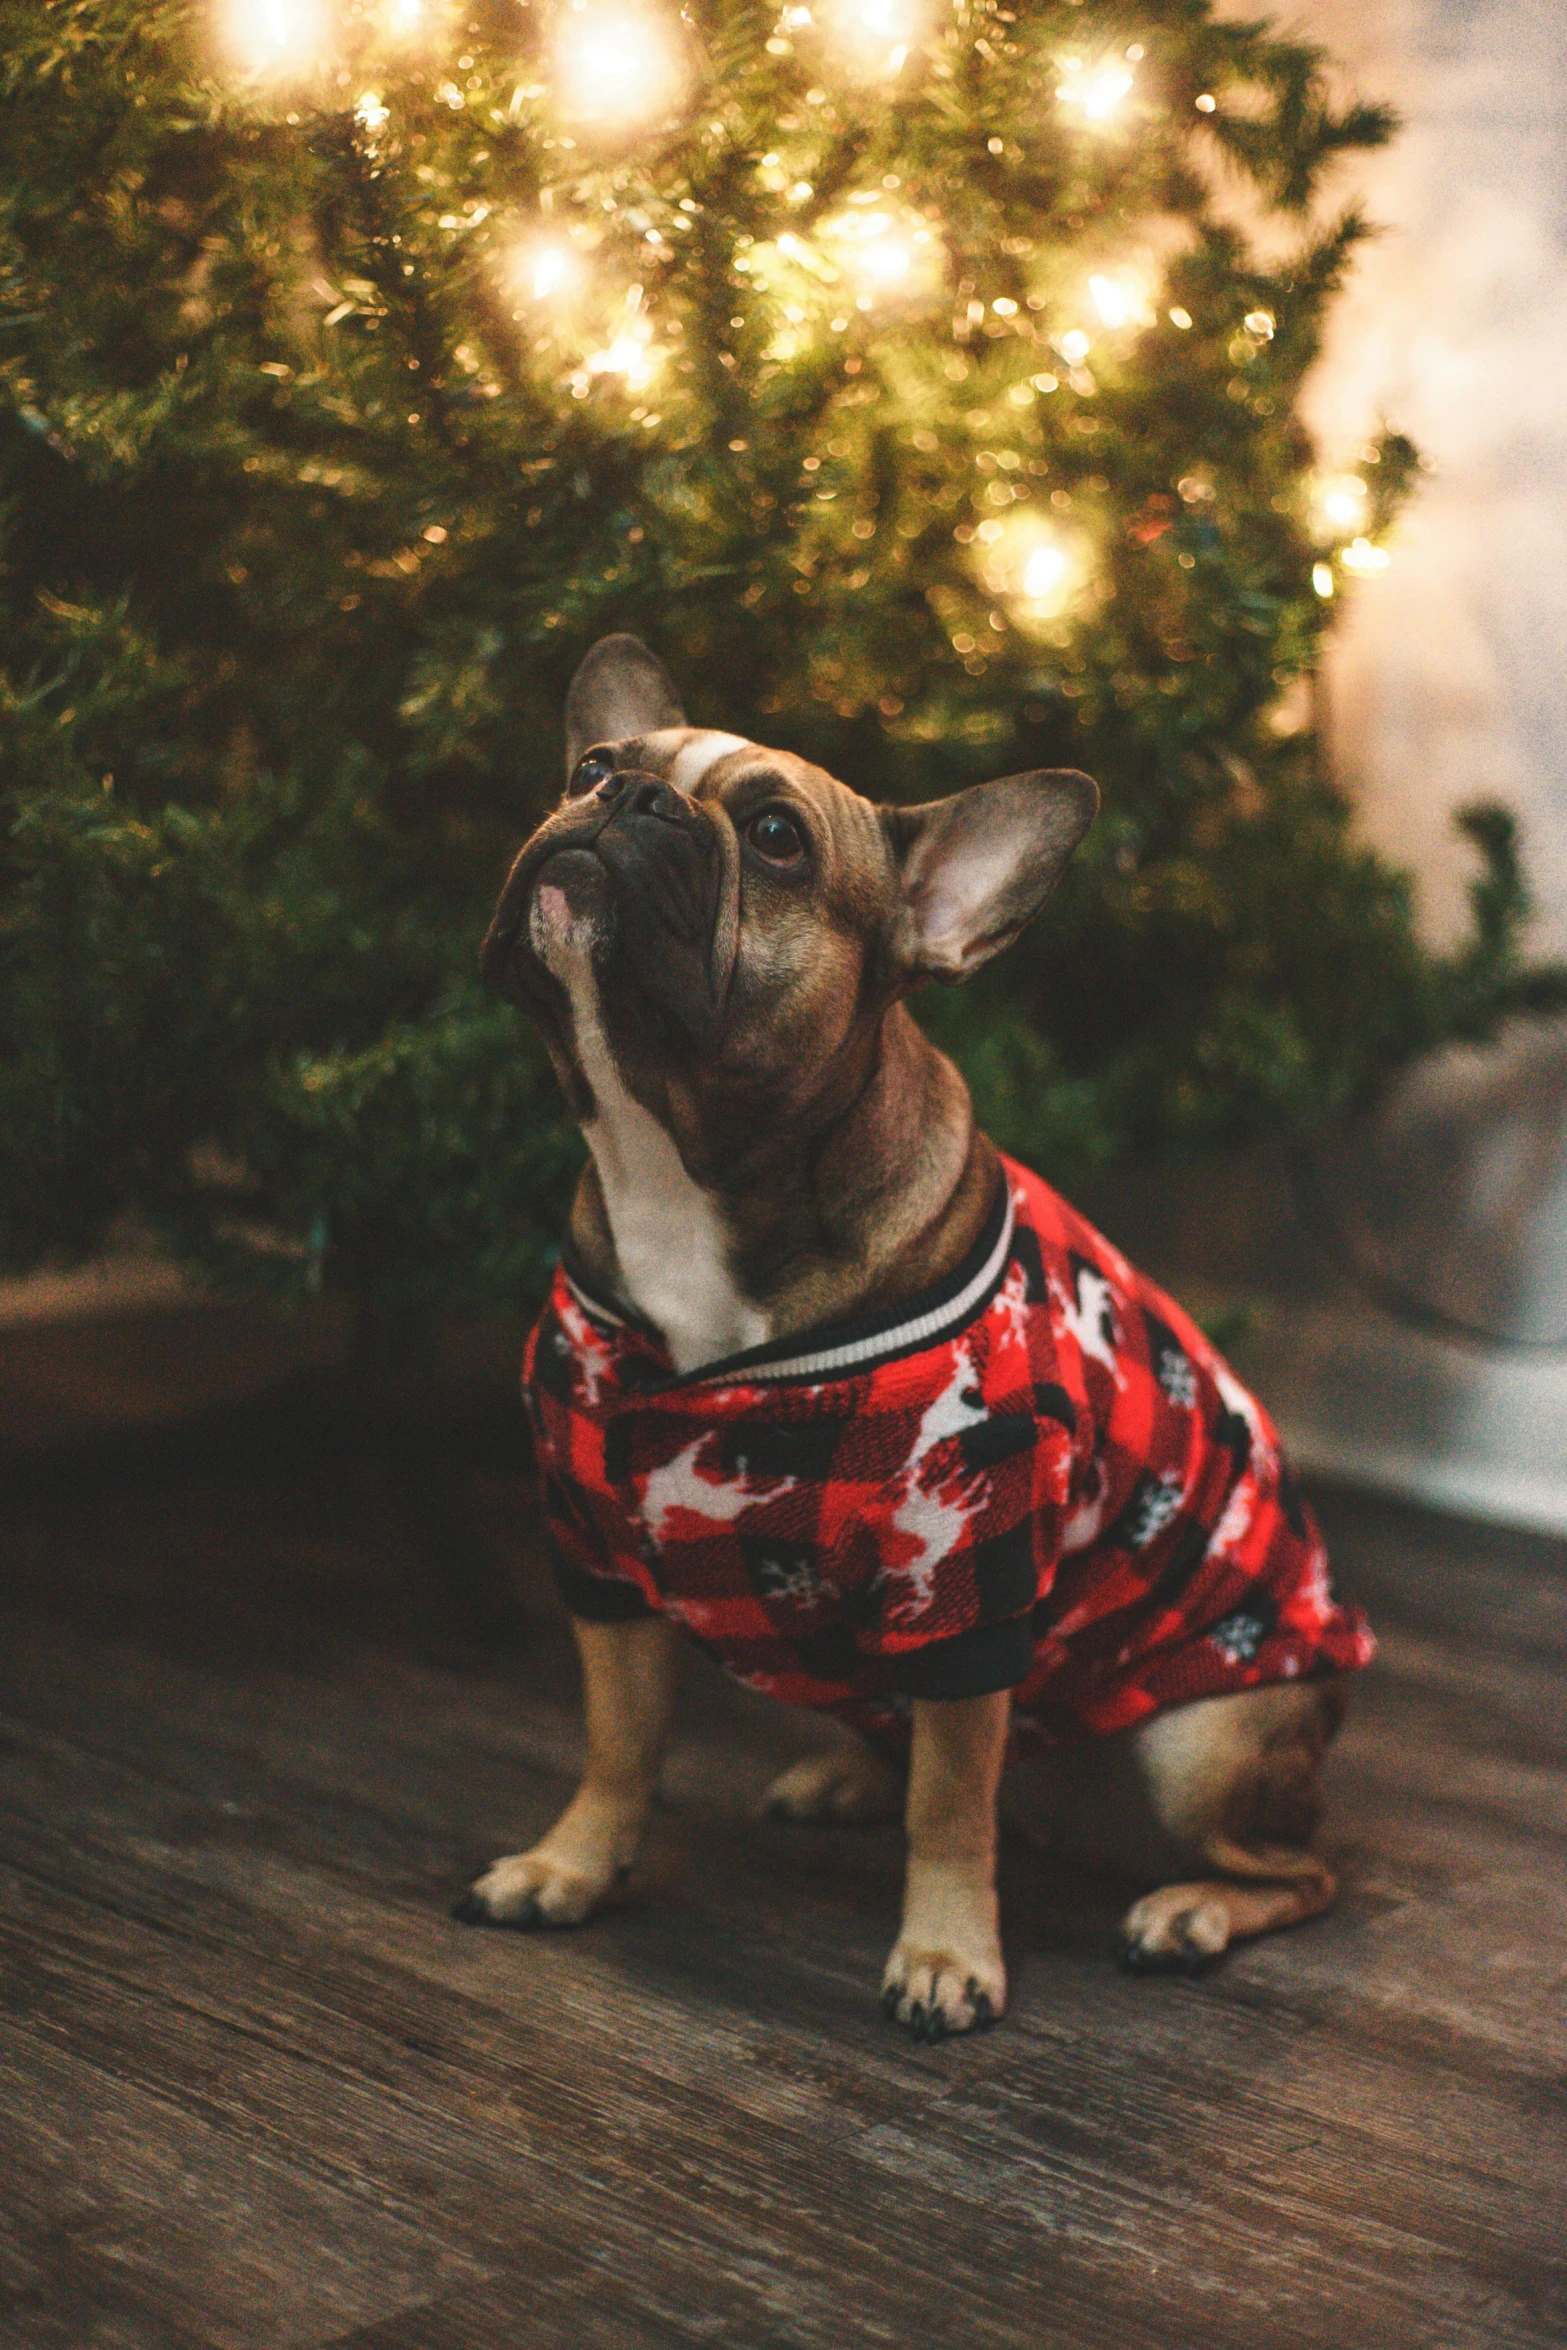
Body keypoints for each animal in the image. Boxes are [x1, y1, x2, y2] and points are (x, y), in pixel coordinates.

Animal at [465, 634, 1372, 2030]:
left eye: (777, 837)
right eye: (590, 765)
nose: (626, 800)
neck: (684, 1172)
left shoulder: (963, 1584)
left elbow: (950, 1811)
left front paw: (946, 1955)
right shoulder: (599, 1549)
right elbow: (617, 1743)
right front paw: (570, 1863)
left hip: (1200, 1743)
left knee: (1293, 1873)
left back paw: (1190, 1909)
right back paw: (847, 1777)